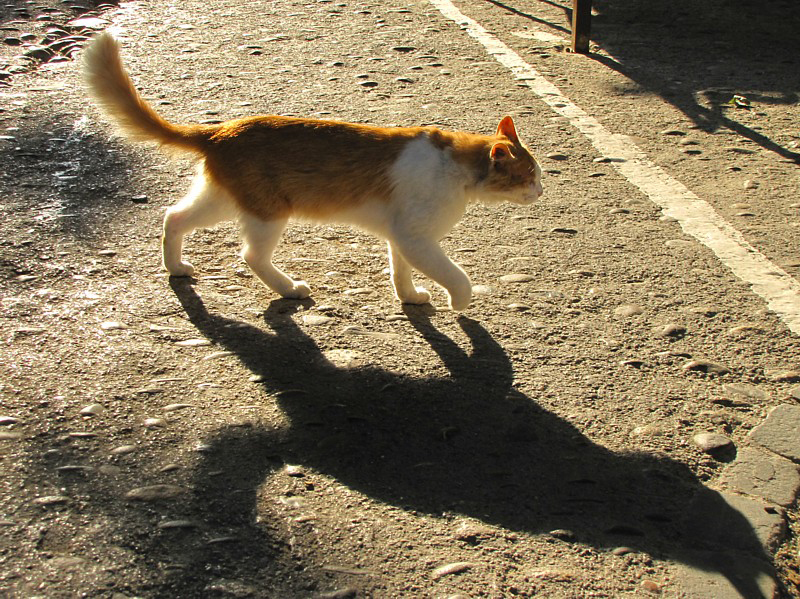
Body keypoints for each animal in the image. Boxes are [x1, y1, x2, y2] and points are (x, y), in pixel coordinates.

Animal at [83, 32, 544, 310]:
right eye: (529, 175)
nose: (542, 192)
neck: (455, 167)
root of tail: (224, 129)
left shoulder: (402, 235)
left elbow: (400, 270)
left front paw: (409, 295)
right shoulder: (417, 238)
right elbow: (457, 276)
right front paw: (460, 302)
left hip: (225, 200)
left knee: (173, 217)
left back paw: (175, 266)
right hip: (268, 212)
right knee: (250, 255)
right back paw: (289, 288)